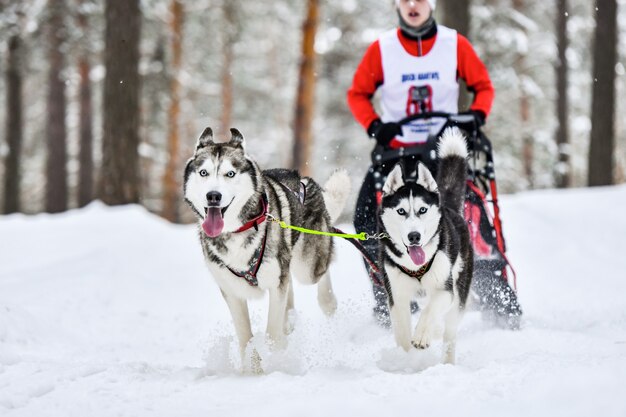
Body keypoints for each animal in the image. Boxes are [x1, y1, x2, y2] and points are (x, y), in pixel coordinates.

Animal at [183, 127, 348, 370]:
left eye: (230, 174)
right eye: (204, 173)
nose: (213, 196)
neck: (237, 230)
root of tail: (303, 179)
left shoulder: (276, 284)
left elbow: (272, 333)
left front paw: (277, 362)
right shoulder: (232, 291)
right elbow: (245, 338)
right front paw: (253, 370)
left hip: (307, 267)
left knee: (321, 270)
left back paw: (327, 302)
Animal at [378, 127, 470, 364]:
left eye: (422, 210)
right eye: (401, 211)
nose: (414, 236)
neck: (415, 267)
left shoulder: (445, 290)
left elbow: (431, 311)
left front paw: (422, 336)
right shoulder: (397, 296)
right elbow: (402, 332)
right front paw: (406, 358)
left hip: (458, 291)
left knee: (449, 333)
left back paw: (446, 360)